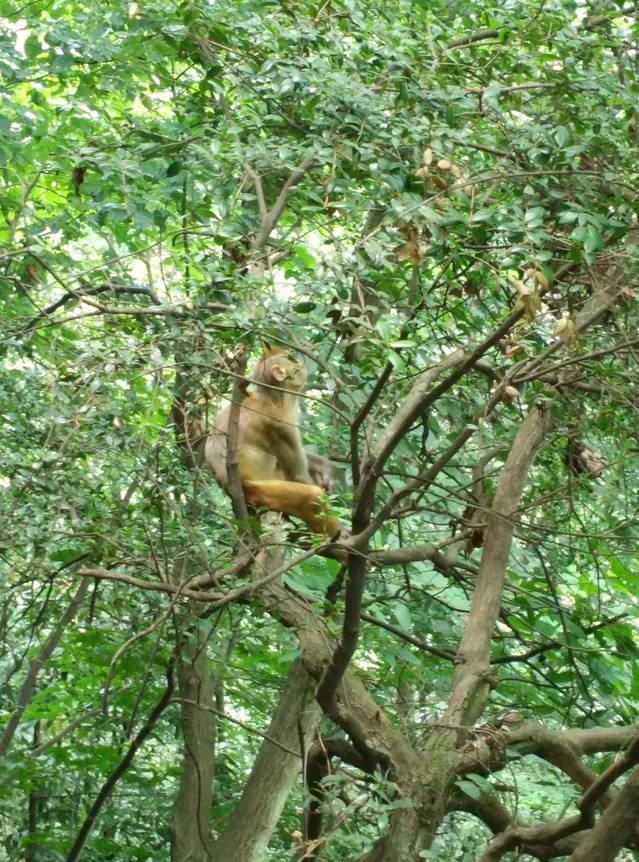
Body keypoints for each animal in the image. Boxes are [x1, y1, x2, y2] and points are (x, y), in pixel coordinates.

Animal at [205, 348, 341, 537]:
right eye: (289, 358)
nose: (299, 362)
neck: (275, 397)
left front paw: (325, 466)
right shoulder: (280, 425)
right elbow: (299, 475)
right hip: (261, 493)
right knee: (311, 496)